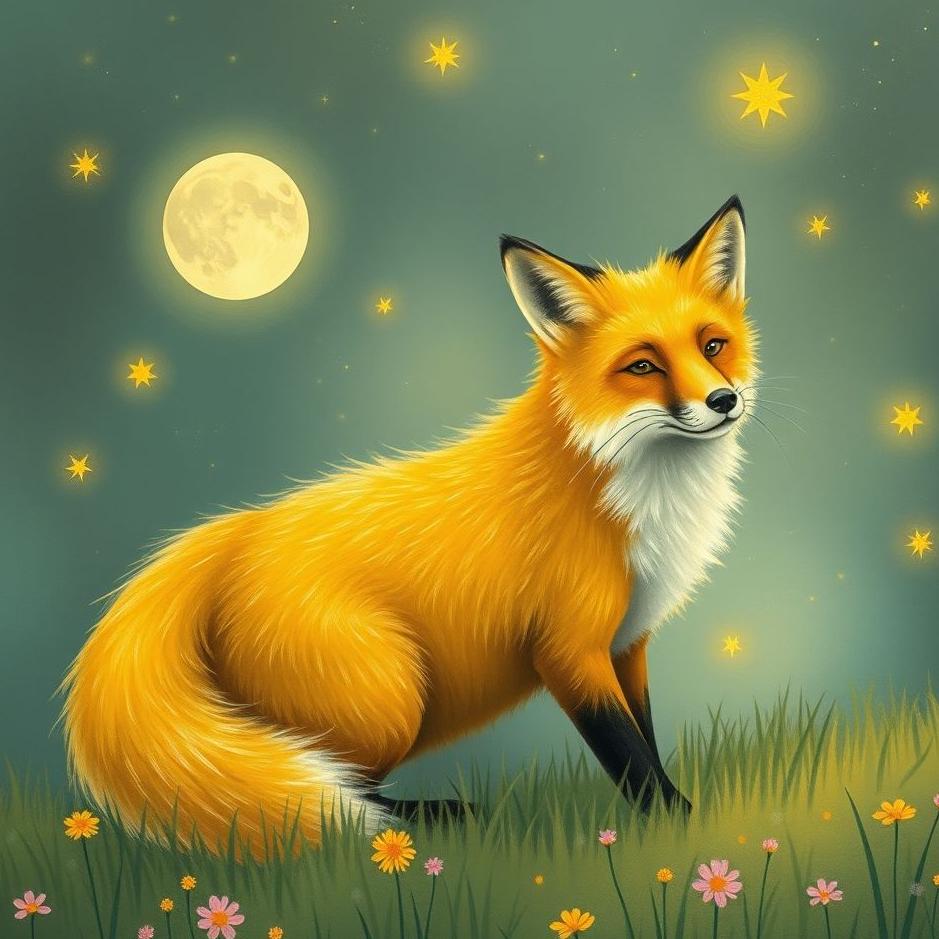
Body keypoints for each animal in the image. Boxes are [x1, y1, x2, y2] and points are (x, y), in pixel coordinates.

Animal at [63, 195, 756, 856]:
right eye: (642, 367)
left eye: (712, 345)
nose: (724, 401)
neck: (638, 496)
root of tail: (235, 534)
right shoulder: (569, 650)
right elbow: (626, 753)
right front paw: (676, 822)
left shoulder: (627, 644)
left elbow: (646, 736)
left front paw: (677, 815)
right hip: (395, 694)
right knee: (326, 794)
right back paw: (429, 818)